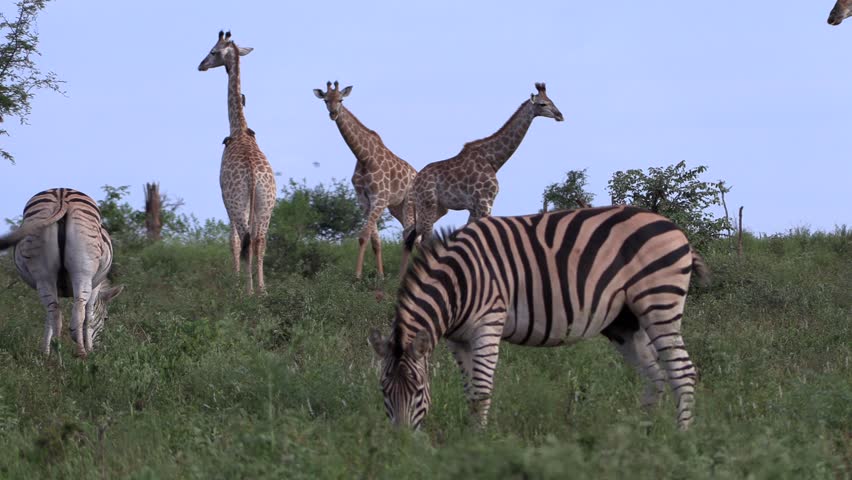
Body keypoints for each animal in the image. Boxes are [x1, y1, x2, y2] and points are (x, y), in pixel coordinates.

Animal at [0, 188, 124, 358]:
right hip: (83, 271)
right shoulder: (95, 286)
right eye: (106, 318)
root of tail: (62, 195)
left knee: (55, 313)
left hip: (43, 275)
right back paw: (81, 353)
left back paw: (57, 355)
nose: (99, 348)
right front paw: (88, 347)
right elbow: (89, 316)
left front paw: (45, 351)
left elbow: (48, 319)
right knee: (79, 310)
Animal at [198, 31, 277, 294]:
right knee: (260, 241)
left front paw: (235, 283)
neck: (239, 129)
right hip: (266, 205)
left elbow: (232, 242)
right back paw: (262, 290)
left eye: (212, 51)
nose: (201, 65)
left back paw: (248, 291)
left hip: (238, 203)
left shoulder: (225, 199)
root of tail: (253, 176)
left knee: (246, 240)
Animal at [313, 81, 417, 280]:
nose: (333, 113)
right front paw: (380, 276)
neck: (363, 157)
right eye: (325, 100)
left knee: (410, 235)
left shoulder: (379, 198)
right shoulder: (364, 200)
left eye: (341, 99)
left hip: (409, 203)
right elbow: (374, 240)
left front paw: (357, 276)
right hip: (396, 207)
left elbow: (363, 235)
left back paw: (405, 276)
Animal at [369, 205, 709, 431]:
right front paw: (470, 440)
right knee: (655, 376)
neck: (457, 283)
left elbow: (482, 389)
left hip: (658, 302)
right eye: (384, 391)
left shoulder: (488, 324)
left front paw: (479, 442)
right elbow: (470, 393)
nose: (402, 444)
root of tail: (674, 227)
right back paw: (644, 436)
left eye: (418, 391)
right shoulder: (458, 339)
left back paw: (681, 436)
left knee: (682, 371)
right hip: (625, 323)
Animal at [399, 82, 563, 278]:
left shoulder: (476, 207)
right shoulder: (485, 203)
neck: (493, 160)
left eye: (552, 100)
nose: (560, 115)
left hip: (433, 207)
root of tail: (415, 183)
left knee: (410, 236)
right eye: (543, 104)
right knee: (423, 242)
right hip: (427, 205)